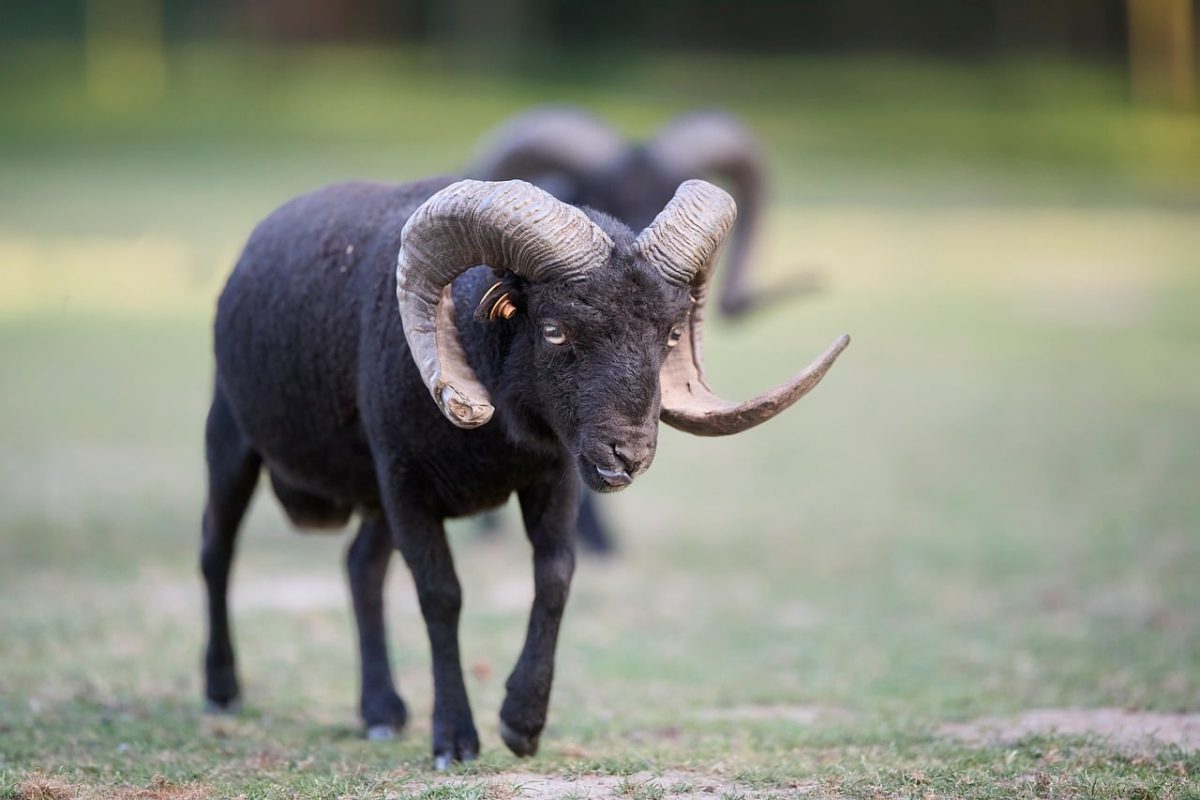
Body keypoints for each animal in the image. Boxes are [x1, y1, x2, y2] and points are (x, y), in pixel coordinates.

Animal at [202, 176, 848, 768]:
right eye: (555, 330)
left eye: (668, 334)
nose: (628, 453)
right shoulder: (406, 483)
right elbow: (441, 595)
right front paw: (455, 740)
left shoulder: (553, 480)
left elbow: (556, 577)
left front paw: (522, 725)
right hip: (231, 440)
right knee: (217, 552)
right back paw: (221, 690)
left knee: (361, 567)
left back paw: (381, 713)